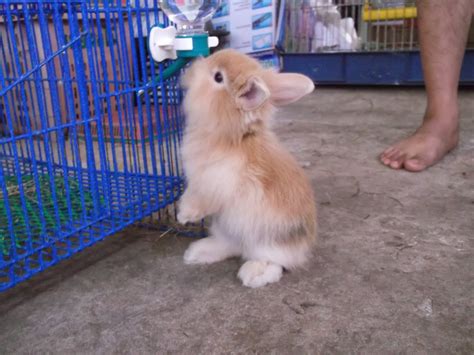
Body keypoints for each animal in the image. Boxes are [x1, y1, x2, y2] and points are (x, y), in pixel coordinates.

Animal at [176, 49, 316, 290]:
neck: (233, 137)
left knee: (277, 262)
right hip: (225, 227)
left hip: (266, 241)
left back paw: (254, 274)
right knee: (231, 246)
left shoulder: (215, 182)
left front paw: (184, 216)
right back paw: (197, 253)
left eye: (218, 77)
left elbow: (199, 200)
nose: (194, 65)